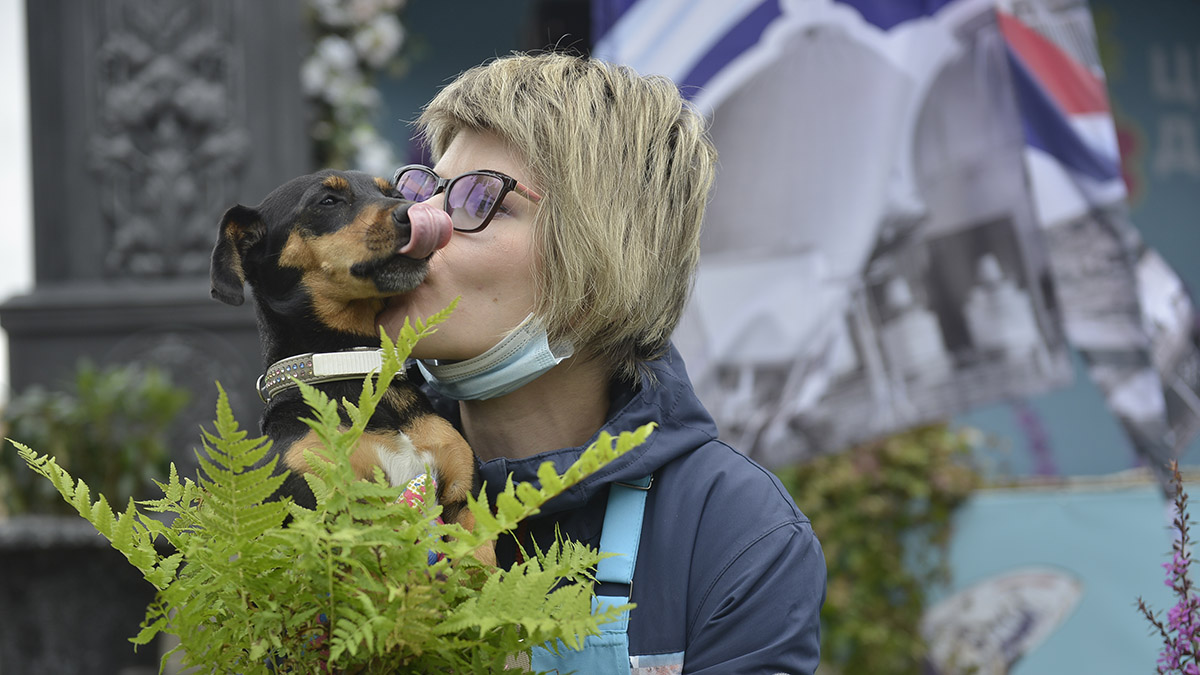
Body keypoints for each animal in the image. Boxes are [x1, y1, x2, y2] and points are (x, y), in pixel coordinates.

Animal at [210, 170, 487, 559]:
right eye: (328, 201)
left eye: (396, 193)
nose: (414, 212)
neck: (352, 365)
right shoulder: (323, 515)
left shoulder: (464, 506)